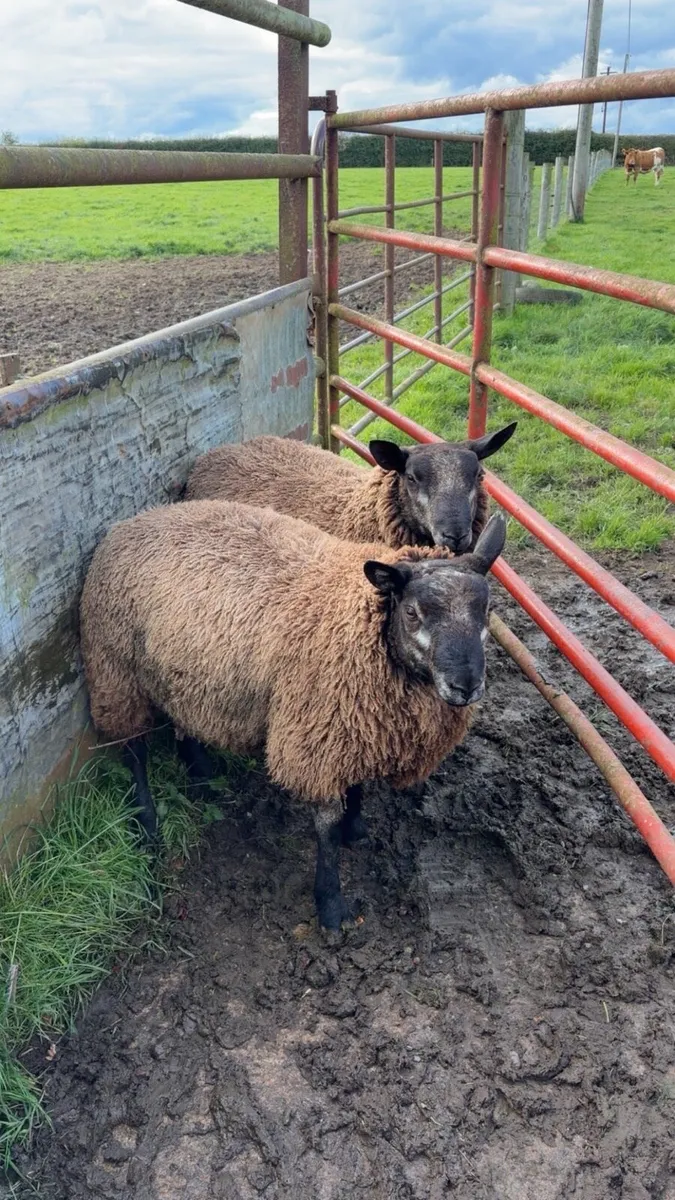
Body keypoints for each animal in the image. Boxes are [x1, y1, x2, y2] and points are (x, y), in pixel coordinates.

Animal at [80, 500, 506, 930]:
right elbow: (326, 827)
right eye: (414, 613)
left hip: (182, 672)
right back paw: (147, 825)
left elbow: (358, 786)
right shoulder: (318, 734)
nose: (465, 685)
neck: (362, 620)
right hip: (116, 668)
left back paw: (202, 775)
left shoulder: (357, 724)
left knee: (183, 721)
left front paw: (356, 829)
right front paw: (331, 905)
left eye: (487, 610)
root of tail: (134, 521)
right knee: (134, 751)